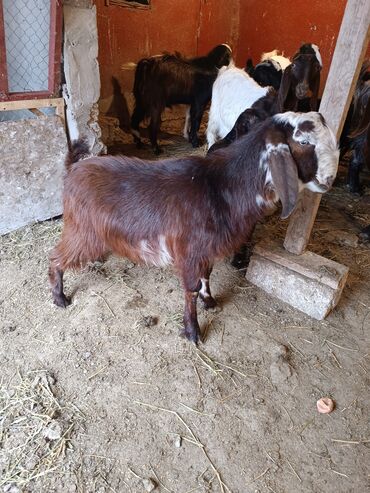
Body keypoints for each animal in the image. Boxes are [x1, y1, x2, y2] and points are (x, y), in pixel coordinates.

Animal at [49, 111, 338, 342]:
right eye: (303, 142)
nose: (329, 179)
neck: (221, 187)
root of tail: (73, 168)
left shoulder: (206, 249)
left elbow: (206, 276)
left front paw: (209, 301)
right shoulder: (190, 251)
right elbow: (191, 289)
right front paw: (192, 331)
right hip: (80, 229)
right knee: (56, 257)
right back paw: (60, 297)